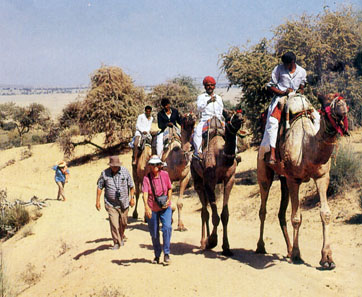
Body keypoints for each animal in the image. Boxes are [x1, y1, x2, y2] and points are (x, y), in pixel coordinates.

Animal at [191, 111, 245, 254]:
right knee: (204, 212)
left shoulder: (229, 180)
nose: (240, 117)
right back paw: (203, 242)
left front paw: (226, 247)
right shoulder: (209, 182)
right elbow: (215, 216)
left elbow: (224, 215)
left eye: (239, 112)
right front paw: (212, 241)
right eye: (229, 115)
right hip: (198, 181)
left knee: (206, 210)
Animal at [256, 93, 350, 268]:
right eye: (326, 105)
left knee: (280, 213)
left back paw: (288, 250)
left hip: (283, 180)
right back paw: (261, 247)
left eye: (343, 100)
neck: (307, 148)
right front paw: (297, 255)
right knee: (263, 209)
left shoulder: (322, 177)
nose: (342, 108)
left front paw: (327, 259)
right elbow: (296, 217)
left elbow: (325, 213)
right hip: (264, 169)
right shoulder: (294, 179)